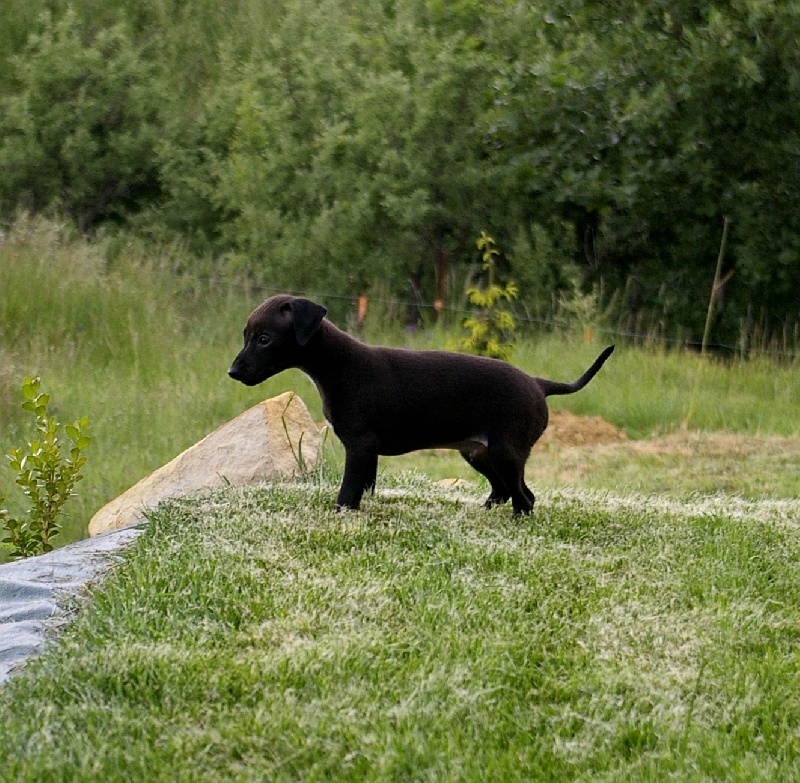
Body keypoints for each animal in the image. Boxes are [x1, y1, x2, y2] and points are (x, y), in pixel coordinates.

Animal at [229, 294, 614, 516]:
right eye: (247, 336)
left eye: (264, 339)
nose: (232, 372)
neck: (337, 365)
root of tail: (539, 383)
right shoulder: (367, 451)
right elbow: (365, 485)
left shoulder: (359, 446)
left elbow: (348, 490)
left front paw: (341, 515)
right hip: (479, 453)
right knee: (507, 491)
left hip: (505, 451)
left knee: (524, 498)